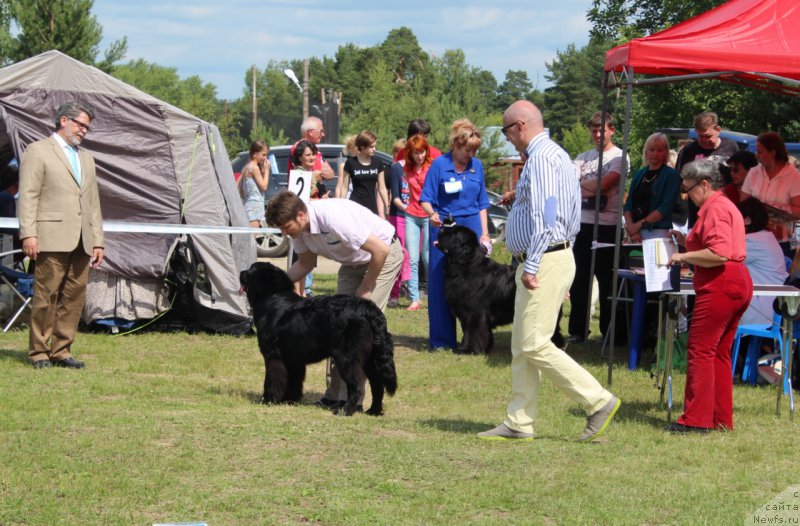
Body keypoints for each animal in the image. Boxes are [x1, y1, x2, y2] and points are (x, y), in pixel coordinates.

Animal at [239, 262, 398, 416]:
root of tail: (369, 310)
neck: (271, 296)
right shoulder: (293, 359)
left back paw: (345, 411)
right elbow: (293, 381)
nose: (241, 272)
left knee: (356, 386)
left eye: (251, 269)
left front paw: (268, 399)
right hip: (370, 358)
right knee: (377, 384)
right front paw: (289, 400)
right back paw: (374, 411)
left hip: (346, 358)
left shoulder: (273, 356)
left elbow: (272, 380)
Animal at [434, 225, 516, 356]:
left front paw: (468, 349)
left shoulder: (473, 313)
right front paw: (485, 347)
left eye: (453, 233)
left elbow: (472, 332)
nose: (441, 227)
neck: (466, 266)